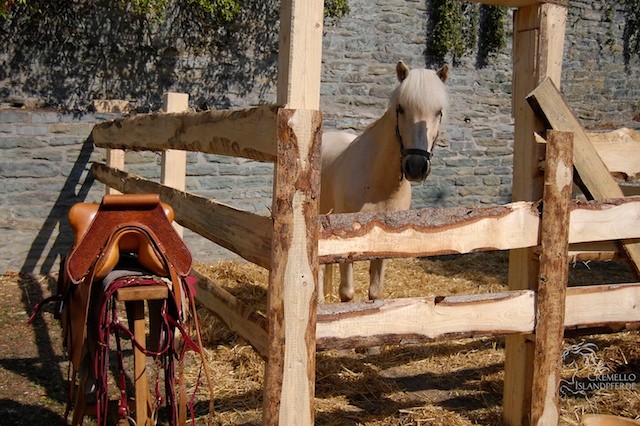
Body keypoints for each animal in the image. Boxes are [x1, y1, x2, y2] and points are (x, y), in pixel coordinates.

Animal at [320, 61, 450, 304]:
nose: (416, 166)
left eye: (438, 112)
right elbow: (347, 293)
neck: (378, 183)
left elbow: (375, 293)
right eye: (401, 108)